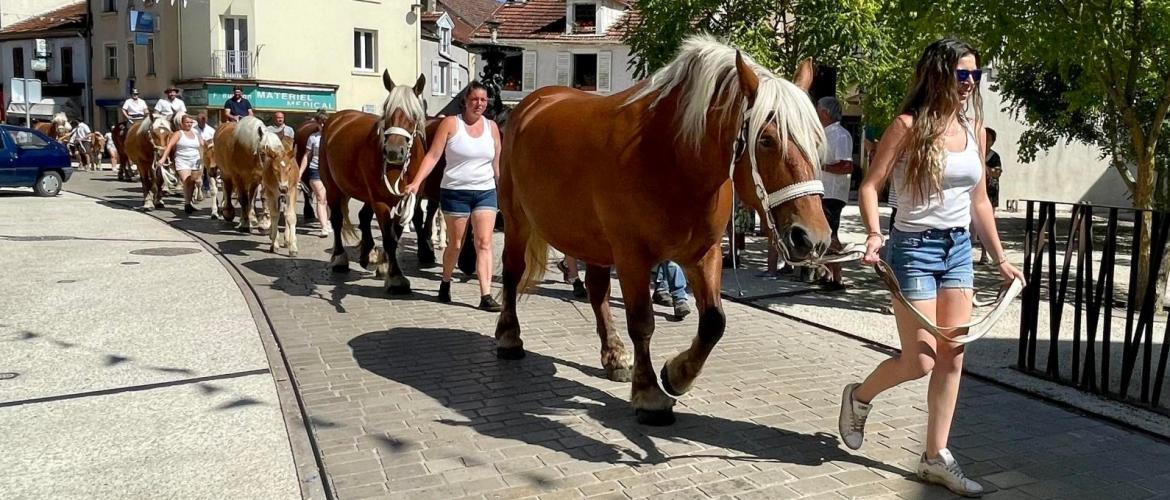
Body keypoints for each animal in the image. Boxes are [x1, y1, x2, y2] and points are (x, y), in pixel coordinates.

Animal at [322, 68, 428, 291]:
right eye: (387, 112)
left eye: (414, 115)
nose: (394, 151)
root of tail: (337, 118)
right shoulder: (380, 201)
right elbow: (389, 238)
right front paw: (396, 278)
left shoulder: (407, 200)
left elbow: (396, 233)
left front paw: (387, 267)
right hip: (332, 187)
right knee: (336, 219)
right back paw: (340, 258)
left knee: (363, 216)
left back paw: (369, 254)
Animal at [493, 36, 833, 426]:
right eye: (766, 140)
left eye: (817, 141)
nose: (813, 238)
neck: (673, 158)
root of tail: (533, 102)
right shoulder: (632, 258)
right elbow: (642, 323)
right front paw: (649, 393)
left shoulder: (703, 254)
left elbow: (713, 322)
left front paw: (677, 374)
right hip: (517, 220)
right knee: (513, 272)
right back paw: (509, 337)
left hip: (594, 242)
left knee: (596, 291)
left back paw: (614, 354)